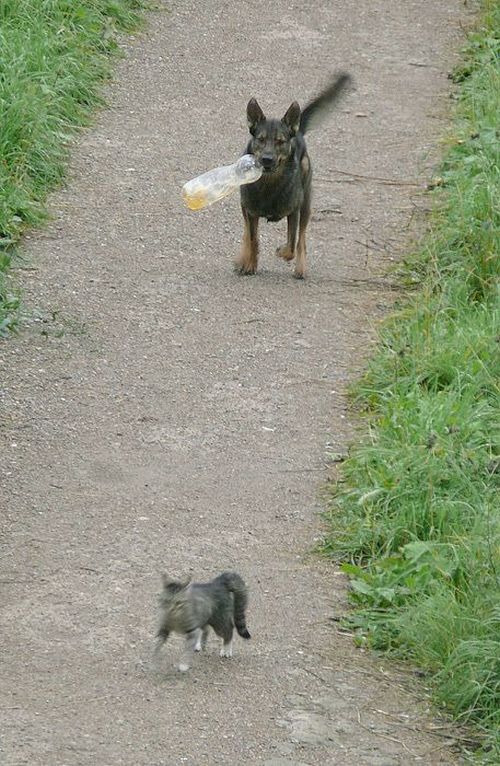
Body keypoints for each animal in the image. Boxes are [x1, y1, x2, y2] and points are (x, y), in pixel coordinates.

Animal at [237, 72, 352, 280]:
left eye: (280, 141)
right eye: (261, 139)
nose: (267, 159)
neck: (269, 185)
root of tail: (296, 132)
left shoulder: (294, 212)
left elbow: (291, 245)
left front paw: (281, 252)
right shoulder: (249, 210)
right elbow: (252, 238)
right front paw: (248, 262)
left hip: (306, 204)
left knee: (302, 239)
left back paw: (301, 267)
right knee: (248, 232)